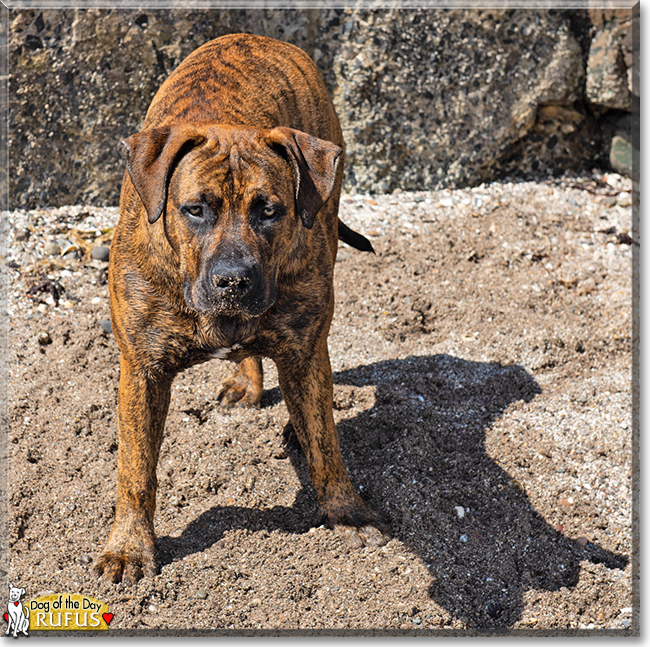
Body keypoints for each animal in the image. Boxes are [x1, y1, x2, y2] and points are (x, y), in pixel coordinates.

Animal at [96, 33, 384, 584]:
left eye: (269, 210)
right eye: (194, 210)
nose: (233, 279)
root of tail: (258, 38)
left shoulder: (304, 351)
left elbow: (327, 446)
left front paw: (346, 513)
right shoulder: (141, 370)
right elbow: (135, 468)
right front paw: (129, 547)